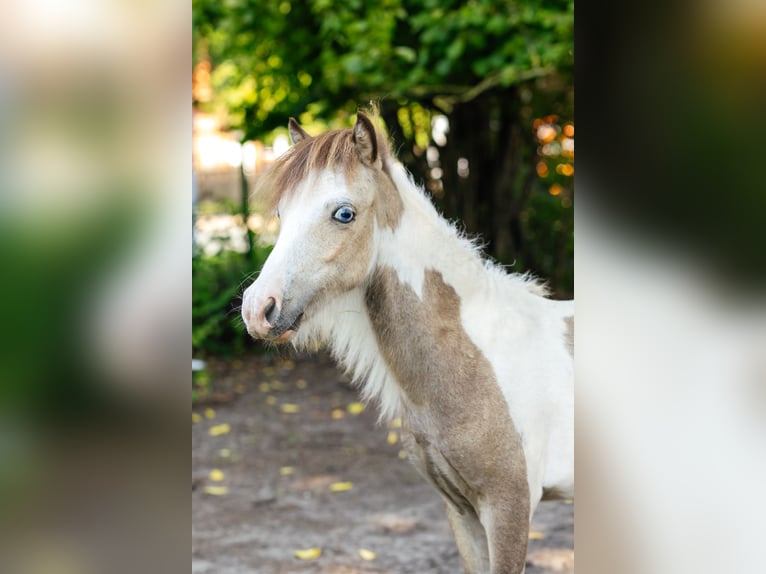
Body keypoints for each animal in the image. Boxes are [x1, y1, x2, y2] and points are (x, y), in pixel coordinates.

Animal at [241, 112, 574, 574]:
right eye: (280, 213)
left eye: (344, 213)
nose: (258, 309)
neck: (475, 360)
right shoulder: (462, 511)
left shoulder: (510, 507)